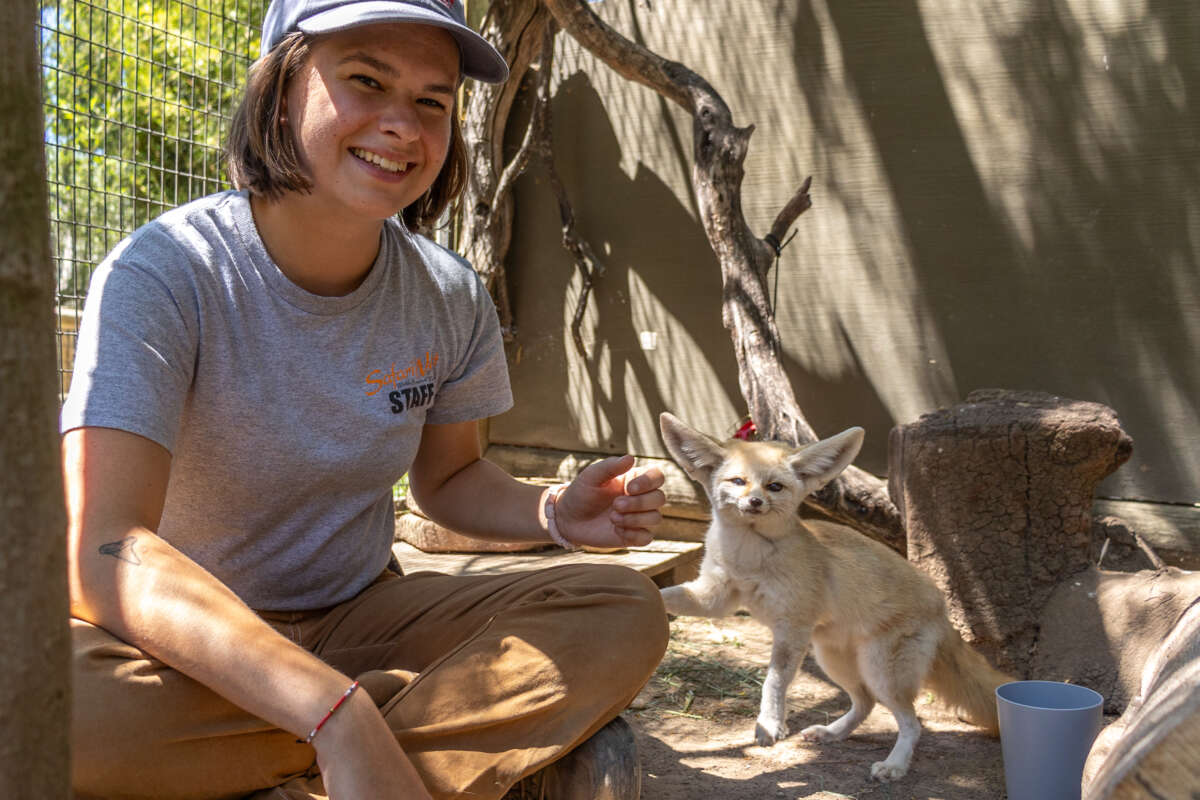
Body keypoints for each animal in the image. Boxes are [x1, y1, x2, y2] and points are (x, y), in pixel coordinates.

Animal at [658, 412, 1011, 782]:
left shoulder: (792, 626)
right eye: (738, 481)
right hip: (835, 660)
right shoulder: (715, 597)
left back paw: (894, 765)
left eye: (774, 487)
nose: (755, 502)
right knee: (865, 703)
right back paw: (832, 733)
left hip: (879, 672)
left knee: (912, 724)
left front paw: (770, 723)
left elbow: (774, 681)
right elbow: (669, 594)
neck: (747, 559)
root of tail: (940, 606)